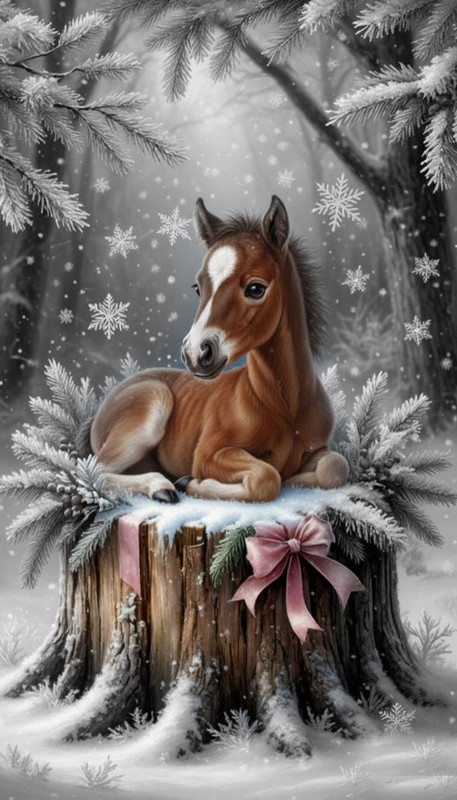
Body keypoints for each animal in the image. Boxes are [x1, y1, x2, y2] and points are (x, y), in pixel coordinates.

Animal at [90, 195, 349, 503]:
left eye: (255, 288)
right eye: (198, 288)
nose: (195, 353)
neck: (284, 408)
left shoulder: (317, 450)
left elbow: (334, 467)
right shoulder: (208, 454)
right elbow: (266, 478)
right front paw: (189, 482)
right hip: (151, 409)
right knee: (92, 470)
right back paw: (162, 486)